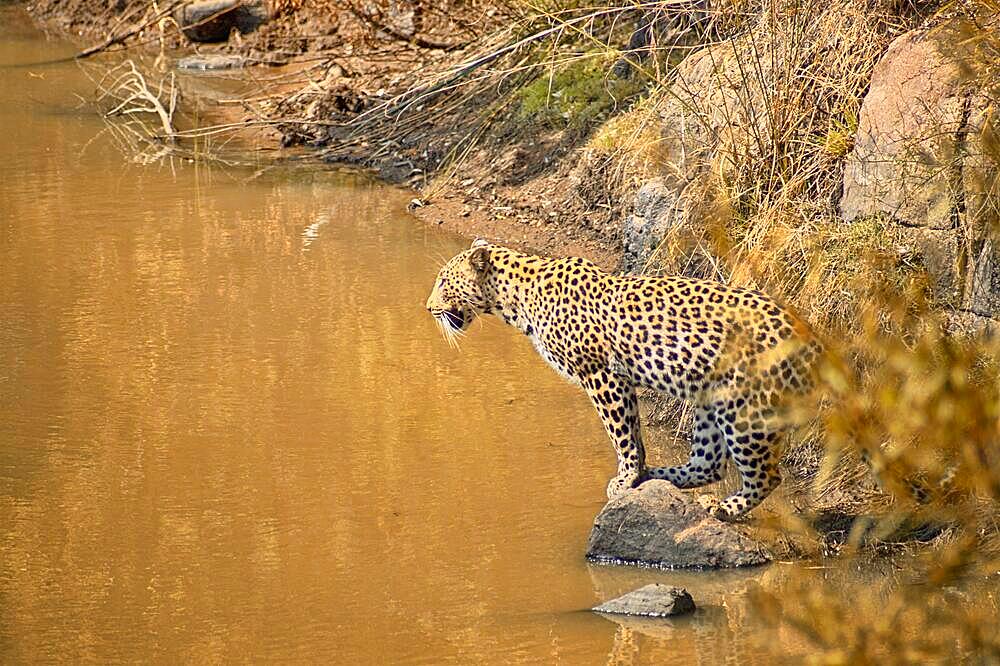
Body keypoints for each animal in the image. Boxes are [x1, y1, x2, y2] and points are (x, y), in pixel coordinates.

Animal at [426, 239, 824, 520]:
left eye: (444, 282)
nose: (428, 308)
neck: (518, 298)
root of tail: (811, 337)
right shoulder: (618, 379)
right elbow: (631, 429)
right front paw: (635, 474)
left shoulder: (600, 374)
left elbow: (620, 432)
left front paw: (627, 476)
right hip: (711, 400)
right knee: (708, 464)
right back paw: (659, 476)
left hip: (743, 409)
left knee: (766, 475)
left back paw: (723, 507)